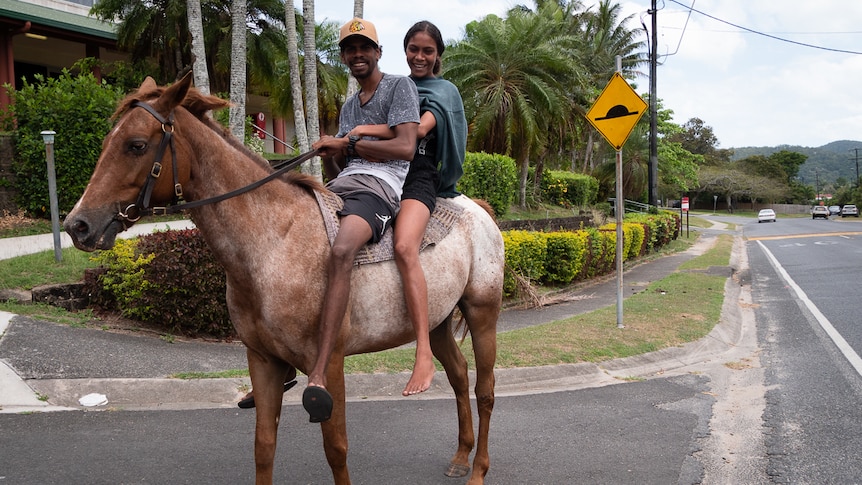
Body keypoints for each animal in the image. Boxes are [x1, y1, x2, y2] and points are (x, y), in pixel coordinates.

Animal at [64, 73, 506, 482]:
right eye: (106, 142)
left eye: (136, 144)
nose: (77, 225)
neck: (273, 244)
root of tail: (478, 208)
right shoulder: (262, 360)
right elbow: (264, 446)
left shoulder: (329, 368)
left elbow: (336, 448)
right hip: (436, 322)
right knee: (458, 375)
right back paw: (460, 456)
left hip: (482, 312)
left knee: (484, 390)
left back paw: (479, 468)